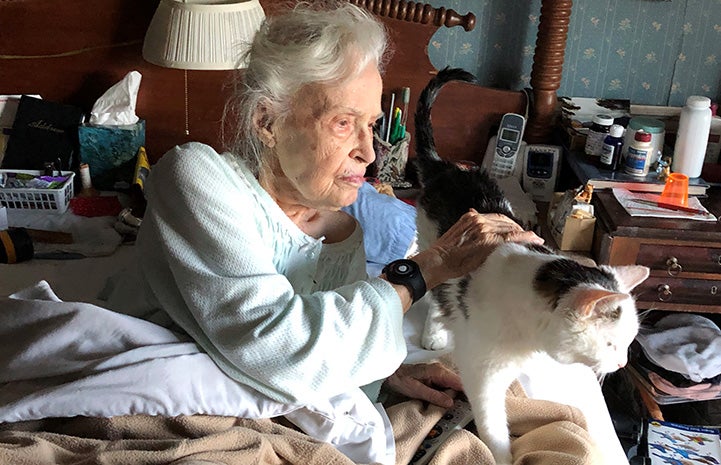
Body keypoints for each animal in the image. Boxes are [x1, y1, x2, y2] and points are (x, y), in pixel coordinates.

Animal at [410, 67, 652, 462]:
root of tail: (448, 169)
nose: (620, 366)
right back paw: (434, 331)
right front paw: (504, 455)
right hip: (433, 247)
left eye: (630, 343)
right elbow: (495, 431)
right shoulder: (483, 375)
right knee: (435, 292)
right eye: (611, 344)